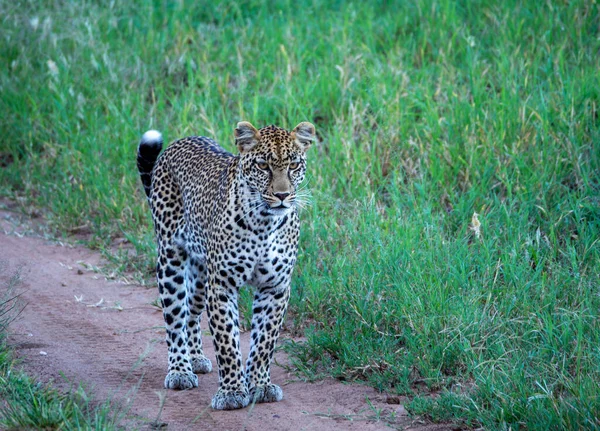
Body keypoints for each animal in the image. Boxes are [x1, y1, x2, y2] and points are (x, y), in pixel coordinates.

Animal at [135, 120, 314, 410]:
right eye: (263, 165)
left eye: (294, 165)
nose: (282, 195)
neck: (264, 223)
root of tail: (180, 141)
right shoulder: (222, 285)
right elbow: (227, 341)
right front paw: (231, 392)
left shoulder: (275, 287)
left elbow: (264, 341)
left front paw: (260, 385)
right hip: (170, 260)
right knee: (174, 317)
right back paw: (180, 370)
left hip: (200, 274)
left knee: (191, 312)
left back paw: (196, 357)